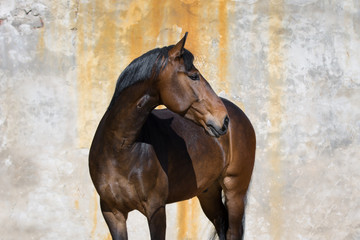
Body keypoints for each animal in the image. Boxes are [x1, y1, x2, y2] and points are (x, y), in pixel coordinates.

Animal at [88, 32, 255, 240]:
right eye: (194, 76)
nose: (223, 120)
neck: (119, 149)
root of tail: (239, 115)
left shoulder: (156, 209)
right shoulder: (112, 213)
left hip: (234, 190)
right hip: (208, 191)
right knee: (220, 222)